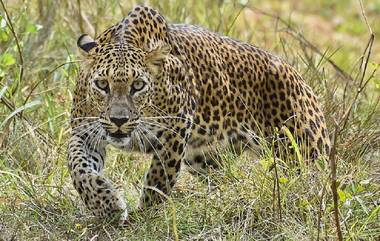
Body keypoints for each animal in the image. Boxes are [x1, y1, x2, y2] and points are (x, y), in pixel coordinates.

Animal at [68, 4, 330, 223]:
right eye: (102, 84)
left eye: (138, 85)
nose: (119, 120)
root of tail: (298, 76)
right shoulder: (84, 132)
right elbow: (79, 168)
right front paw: (107, 206)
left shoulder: (174, 132)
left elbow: (158, 180)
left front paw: (144, 217)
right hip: (204, 158)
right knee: (226, 178)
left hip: (304, 151)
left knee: (317, 182)